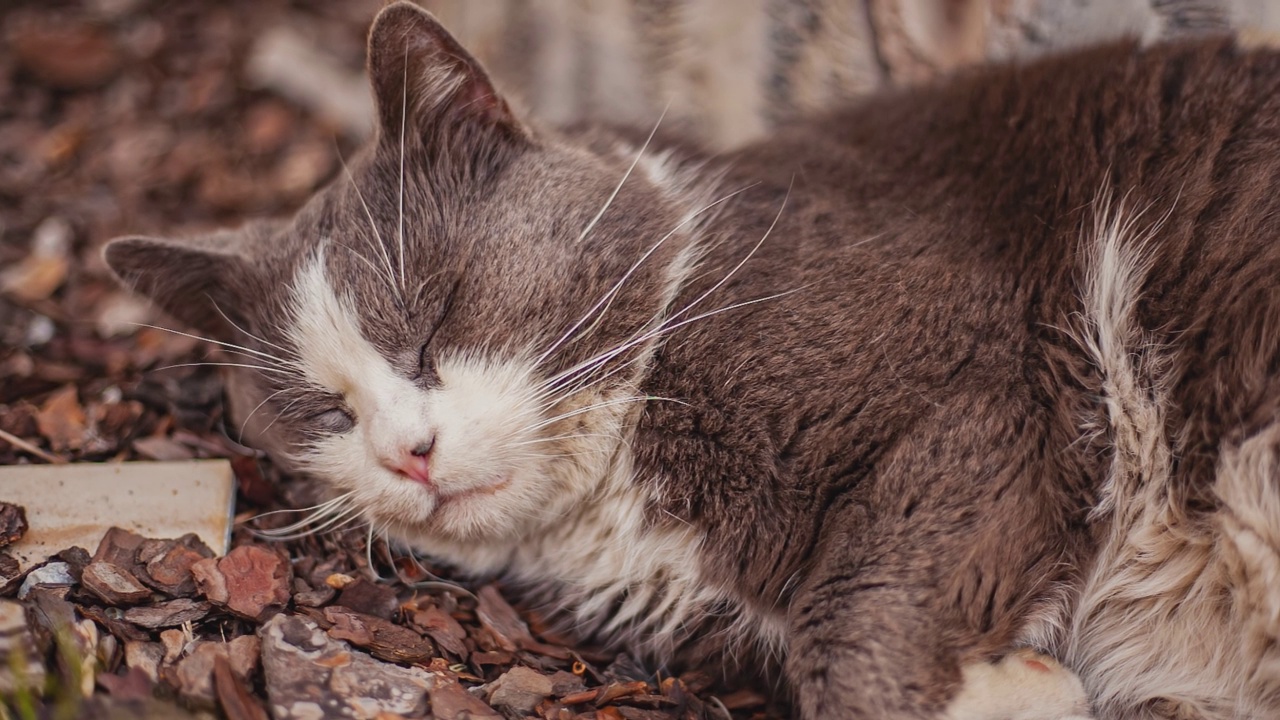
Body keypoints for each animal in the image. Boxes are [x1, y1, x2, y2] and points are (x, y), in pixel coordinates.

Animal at [102, 2, 1280, 712]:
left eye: (432, 320)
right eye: (323, 410)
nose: (409, 452)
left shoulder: (988, 377)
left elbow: (859, 604)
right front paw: (1025, 683)